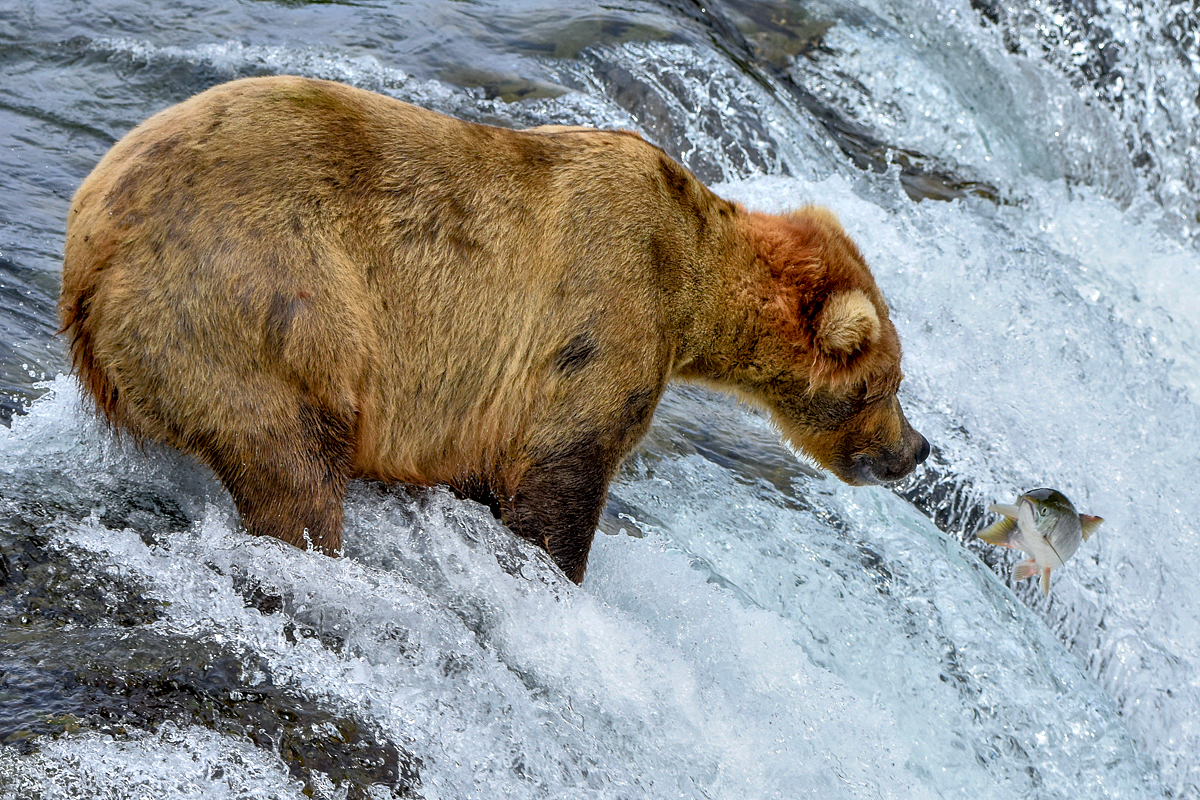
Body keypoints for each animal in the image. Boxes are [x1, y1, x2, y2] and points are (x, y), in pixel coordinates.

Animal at [60, 76, 931, 582]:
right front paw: (557, 573)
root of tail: (89, 245)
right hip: (263, 300)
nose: (915, 450)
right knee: (293, 458)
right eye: (888, 385)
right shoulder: (602, 320)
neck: (691, 277)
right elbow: (561, 477)